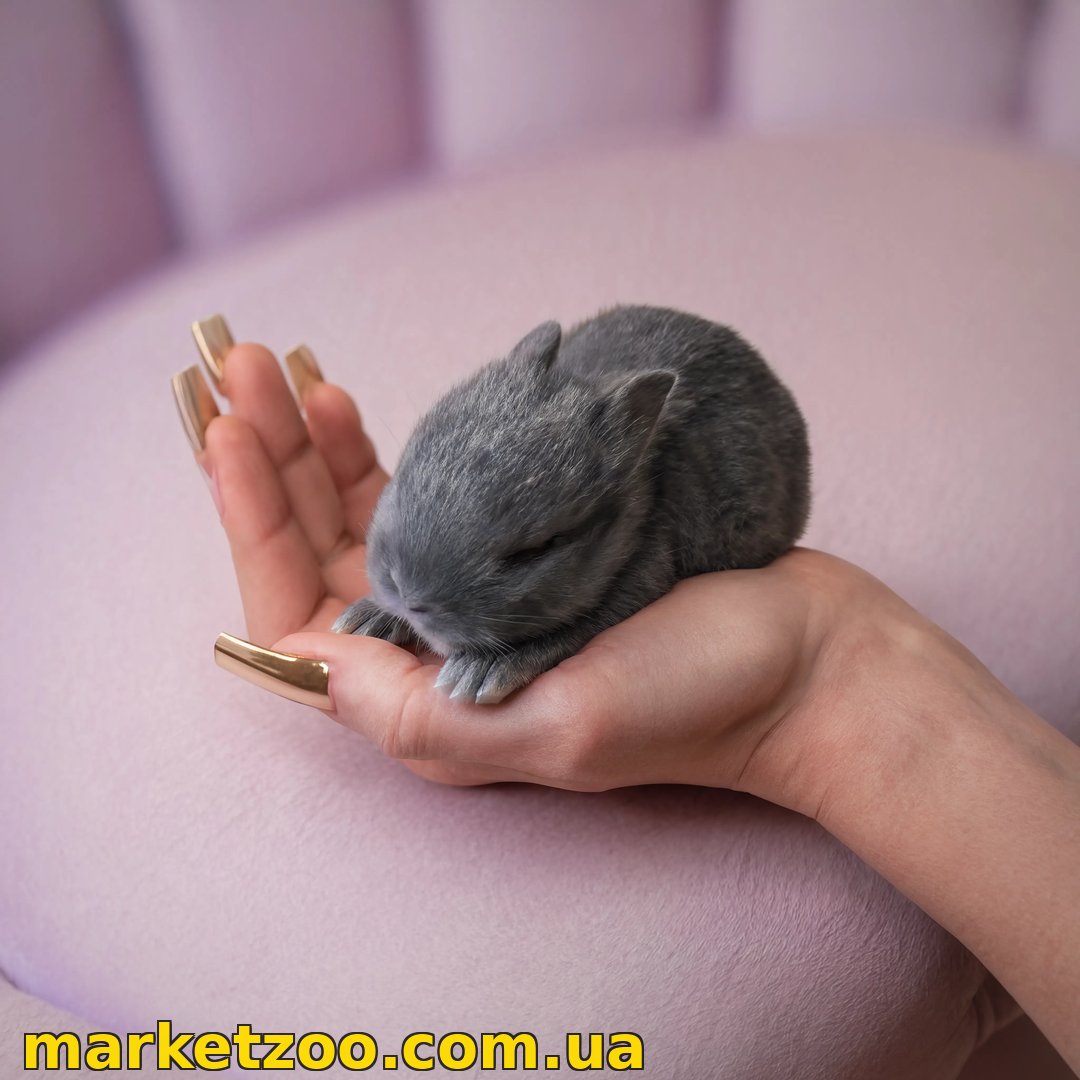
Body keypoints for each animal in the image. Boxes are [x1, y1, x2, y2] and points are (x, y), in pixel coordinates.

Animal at [333, 304, 810, 705]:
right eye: (405, 471)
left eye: (536, 549)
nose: (408, 596)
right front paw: (366, 619)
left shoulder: (642, 573)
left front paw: (479, 674)